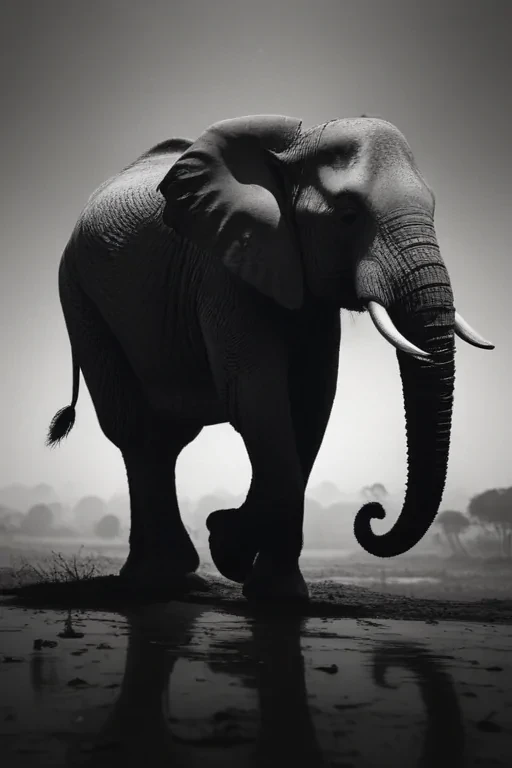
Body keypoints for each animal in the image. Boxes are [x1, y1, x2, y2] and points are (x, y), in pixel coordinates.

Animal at [46, 114, 494, 602]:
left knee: (167, 438)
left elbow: (310, 403)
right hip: (80, 296)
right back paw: (157, 579)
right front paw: (232, 550)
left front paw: (265, 580)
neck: (292, 151)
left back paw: (175, 574)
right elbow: (258, 397)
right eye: (348, 216)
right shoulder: (223, 269)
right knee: (137, 430)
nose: (372, 512)